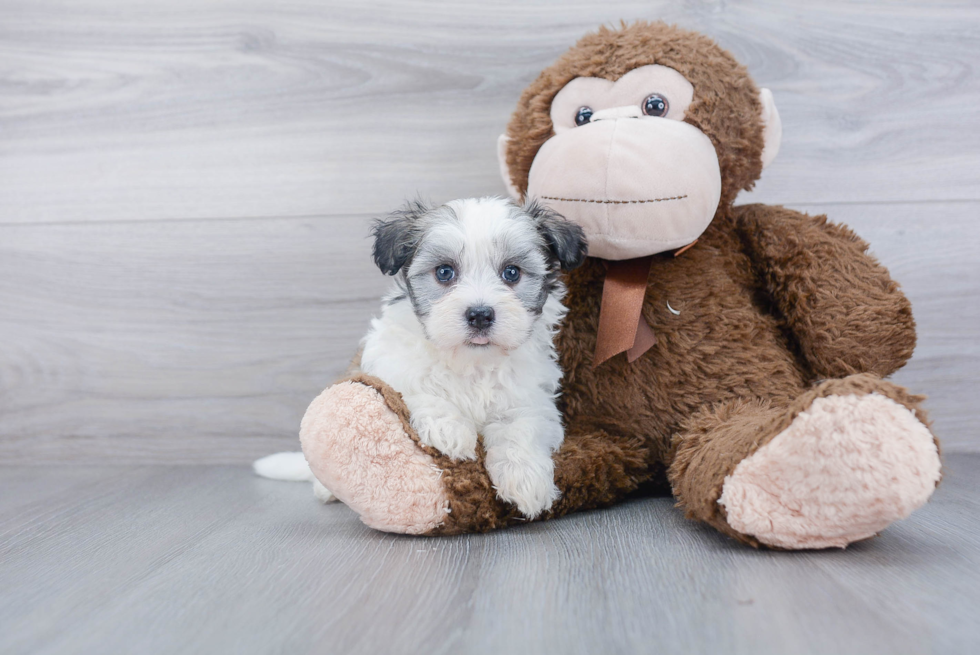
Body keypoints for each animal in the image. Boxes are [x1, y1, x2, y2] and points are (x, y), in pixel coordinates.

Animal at [364, 197, 584, 520]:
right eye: (444, 272)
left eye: (512, 273)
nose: (480, 315)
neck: (473, 362)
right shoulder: (392, 363)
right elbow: (415, 389)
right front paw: (449, 429)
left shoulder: (529, 397)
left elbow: (521, 426)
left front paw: (525, 477)